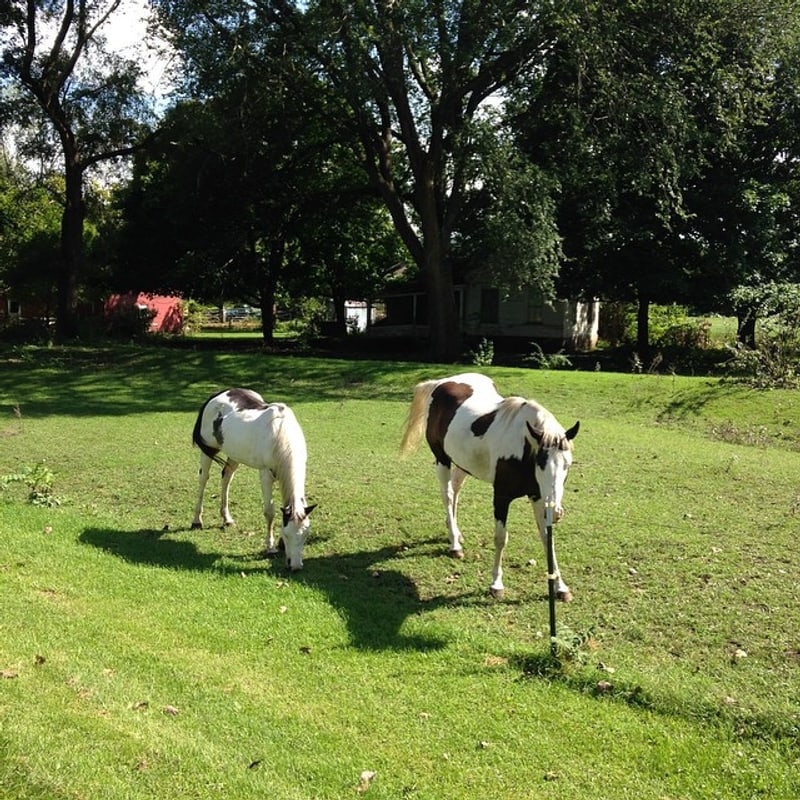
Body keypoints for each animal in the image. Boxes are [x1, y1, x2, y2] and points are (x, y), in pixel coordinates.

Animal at [192, 390, 314, 568]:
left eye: (305, 534)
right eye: (287, 534)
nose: (296, 566)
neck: (280, 434)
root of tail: (217, 395)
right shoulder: (265, 474)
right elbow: (269, 512)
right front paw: (270, 547)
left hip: (234, 455)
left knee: (226, 478)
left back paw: (227, 518)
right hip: (208, 450)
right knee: (203, 480)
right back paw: (196, 520)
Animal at [400, 376, 580, 600]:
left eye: (568, 465)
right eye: (541, 462)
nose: (556, 512)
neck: (522, 449)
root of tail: (441, 382)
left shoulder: (538, 497)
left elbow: (548, 540)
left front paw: (560, 587)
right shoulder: (501, 497)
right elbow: (501, 538)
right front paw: (496, 584)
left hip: (463, 464)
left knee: (456, 490)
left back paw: (455, 532)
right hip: (442, 459)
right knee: (448, 495)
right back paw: (454, 544)